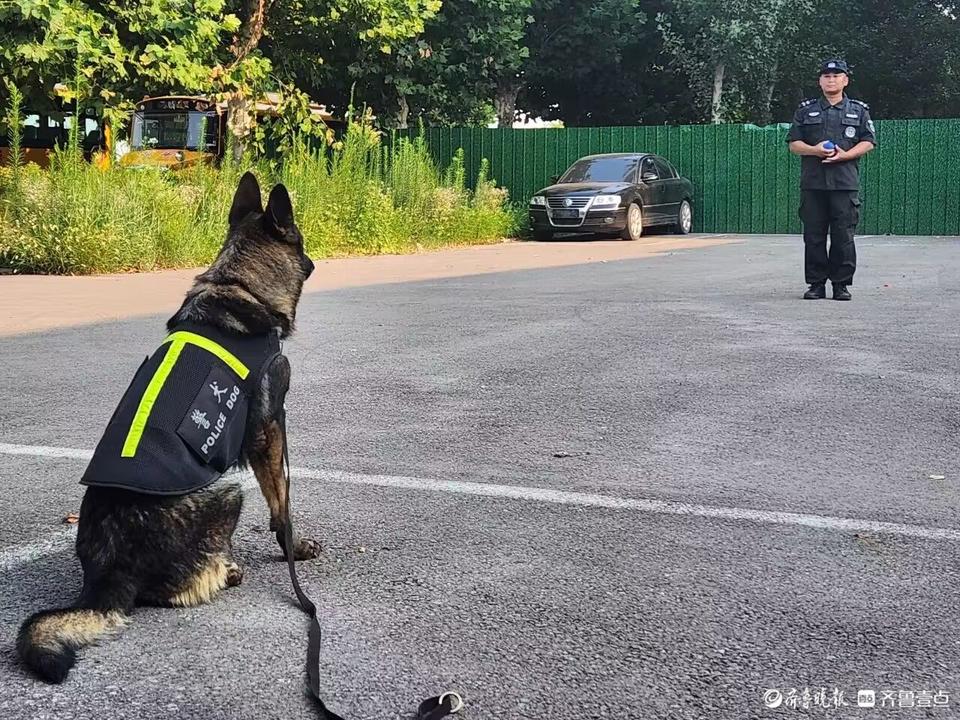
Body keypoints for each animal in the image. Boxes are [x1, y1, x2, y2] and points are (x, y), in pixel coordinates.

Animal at [16, 172, 320, 684]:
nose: (314, 261)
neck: (240, 283)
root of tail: (106, 573)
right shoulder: (269, 430)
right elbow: (282, 503)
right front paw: (292, 547)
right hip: (227, 491)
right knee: (178, 590)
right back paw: (225, 571)